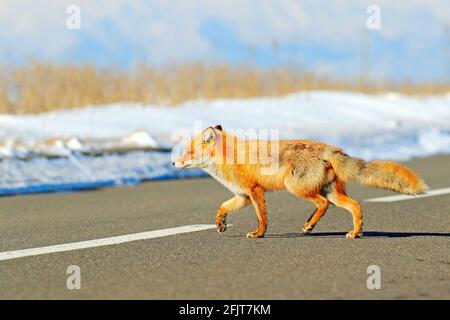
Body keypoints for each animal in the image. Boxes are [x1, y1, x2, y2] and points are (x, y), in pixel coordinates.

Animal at [173, 125, 426, 238]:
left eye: (188, 152)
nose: (174, 163)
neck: (229, 157)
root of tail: (330, 149)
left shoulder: (255, 191)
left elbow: (261, 217)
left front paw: (259, 233)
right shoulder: (242, 195)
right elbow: (222, 207)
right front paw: (220, 223)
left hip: (296, 187)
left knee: (323, 204)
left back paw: (310, 225)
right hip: (331, 192)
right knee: (354, 205)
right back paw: (354, 232)